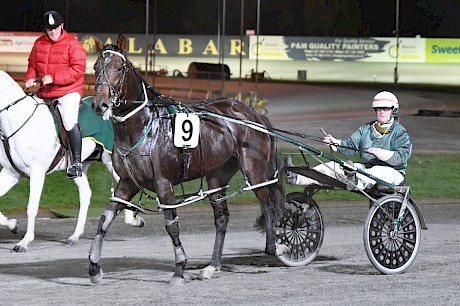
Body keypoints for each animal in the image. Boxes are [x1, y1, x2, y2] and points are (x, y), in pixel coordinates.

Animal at [88, 34, 286, 286]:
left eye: (119, 67)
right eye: (95, 67)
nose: (100, 103)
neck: (144, 126)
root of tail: (253, 113)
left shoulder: (164, 184)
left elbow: (172, 226)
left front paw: (179, 269)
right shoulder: (127, 183)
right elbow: (104, 220)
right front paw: (94, 268)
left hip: (255, 170)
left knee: (268, 205)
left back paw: (275, 247)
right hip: (216, 178)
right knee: (222, 219)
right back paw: (212, 266)